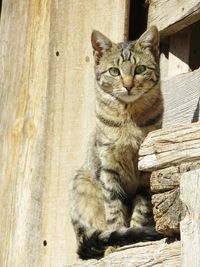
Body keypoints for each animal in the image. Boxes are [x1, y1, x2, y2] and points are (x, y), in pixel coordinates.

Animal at [69, 26, 163, 260]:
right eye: (114, 71)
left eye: (140, 69)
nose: (128, 86)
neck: (128, 119)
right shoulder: (108, 169)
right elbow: (114, 210)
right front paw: (116, 246)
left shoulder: (145, 170)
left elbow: (141, 208)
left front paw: (135, 238)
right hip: (81, 183)